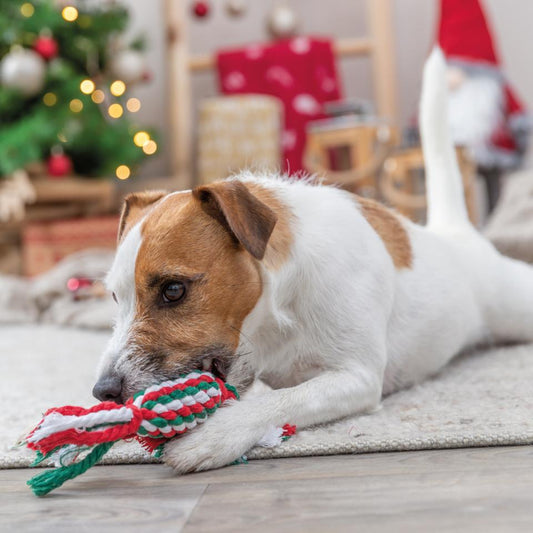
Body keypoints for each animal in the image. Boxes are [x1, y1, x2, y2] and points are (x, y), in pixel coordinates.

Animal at [93, 50, 532, 472]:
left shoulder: (356, 376)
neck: (277, 313)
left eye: (173, 290)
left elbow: (283, 400)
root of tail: (456, 236)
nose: (103, 391)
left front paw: (214, 436)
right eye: (115, 297)